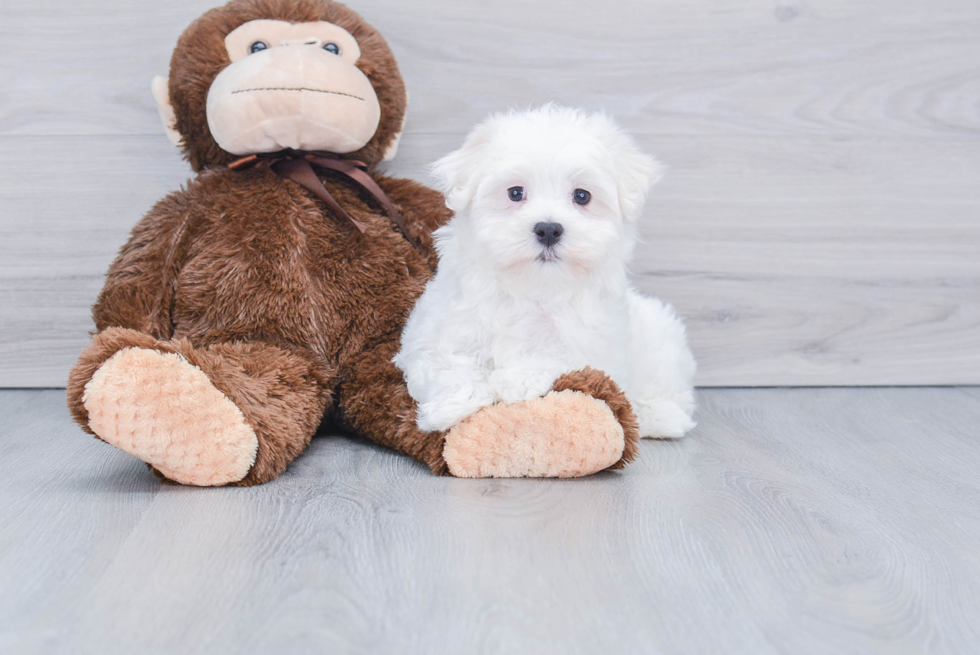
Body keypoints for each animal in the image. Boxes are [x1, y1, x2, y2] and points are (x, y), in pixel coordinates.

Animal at [392, 105, 696, 438]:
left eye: (582, 196)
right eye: (515, 193)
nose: (549, 229)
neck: (534, 287)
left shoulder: (595, 348)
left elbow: (558, 357)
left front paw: (517, 379)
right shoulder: (438, 329)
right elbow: (445, 361)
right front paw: (451, 405)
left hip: (661, 338)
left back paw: (659, 416)